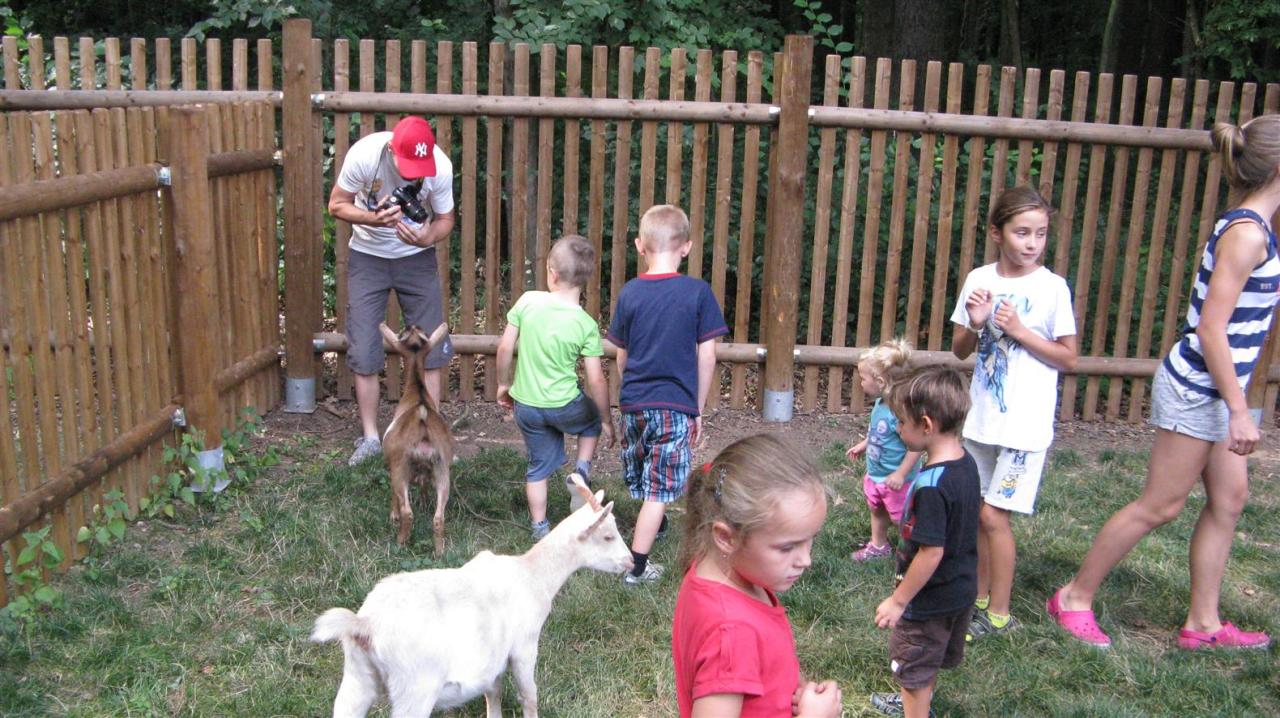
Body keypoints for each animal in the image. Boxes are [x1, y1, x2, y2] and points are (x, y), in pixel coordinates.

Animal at [311, 476, 634, 718]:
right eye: (607, 535)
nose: (631, 561)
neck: (532, 574)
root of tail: (365, 625)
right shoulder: (524, 646)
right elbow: (529, 695)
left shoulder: (493, 659)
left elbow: (494, 693)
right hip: (414, 689)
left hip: (356, 680)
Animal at [379, 322, 454, 553]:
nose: (412, 324)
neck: (417, 390)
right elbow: (423, 486)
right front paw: (423, 501)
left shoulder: (391, 466)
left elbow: (393, 496)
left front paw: (392, 515)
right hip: (442, 471)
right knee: (438, 518)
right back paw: (440, 551)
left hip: (400, 468)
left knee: (407, 513)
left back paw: (400, 542)